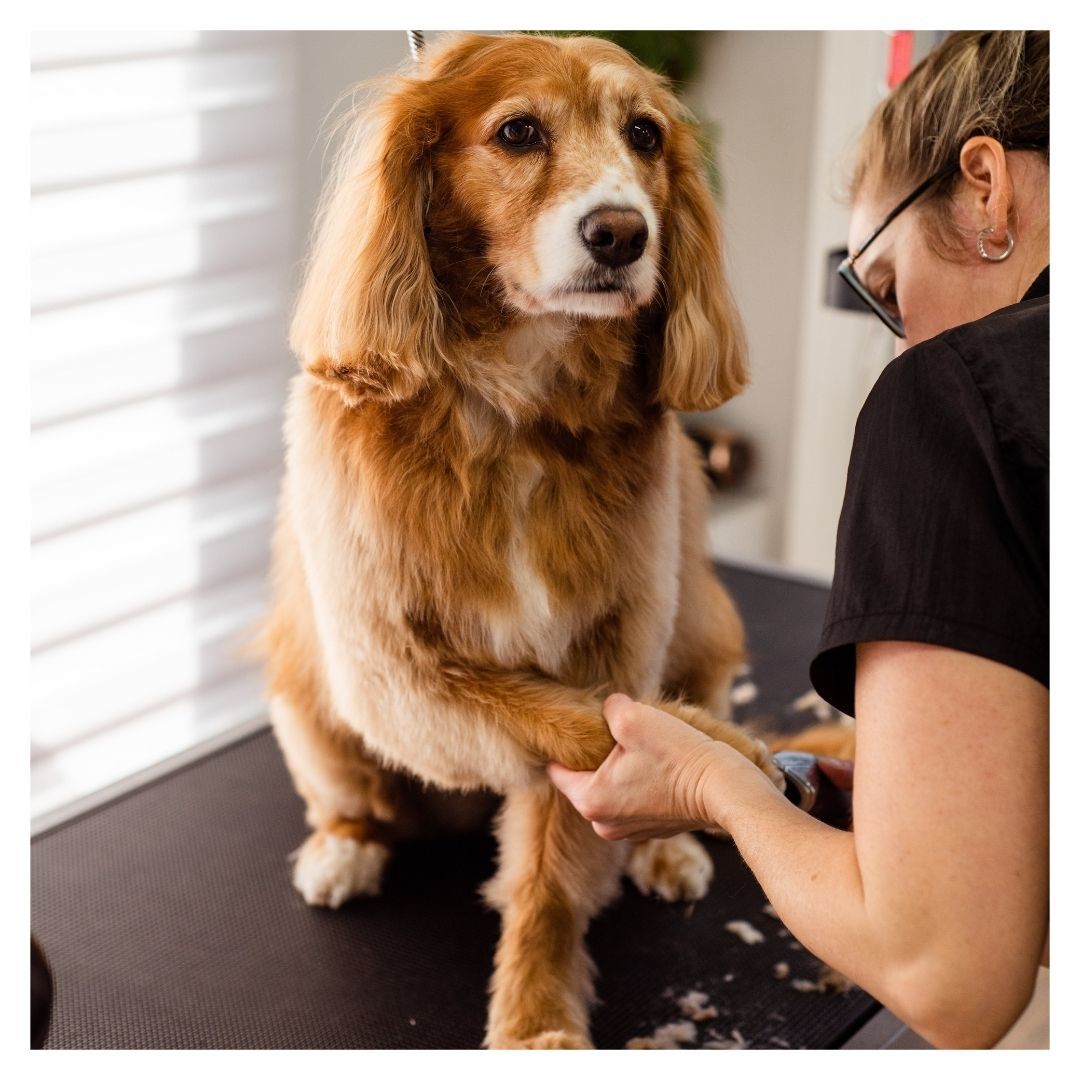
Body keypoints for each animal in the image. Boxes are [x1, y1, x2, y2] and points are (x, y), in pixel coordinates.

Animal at [261, 31, 786, 1045]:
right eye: (517, 132)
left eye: (645, 134)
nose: (621, 233)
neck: (516, 413)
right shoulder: (396, 673)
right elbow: (583, 725)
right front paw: (723, 758)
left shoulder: (612, 642)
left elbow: (553, 863)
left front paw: (536, 1013)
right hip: (308, 700)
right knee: (352, 799)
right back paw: (344, 849)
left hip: (705, 626)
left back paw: (671, 848)